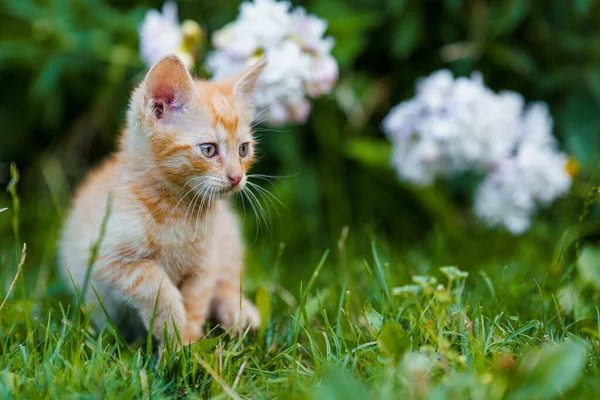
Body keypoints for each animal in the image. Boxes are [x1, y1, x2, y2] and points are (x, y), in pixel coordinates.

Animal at [59, 54, 266, 346]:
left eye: (243, 149)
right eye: (209, 150)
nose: (237, 177)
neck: (176, 209)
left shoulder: (204, 267)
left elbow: (197, 302)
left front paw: (186, 346)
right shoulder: (101, 257)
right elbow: (153, 282)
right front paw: (171, 328)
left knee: (227, 281)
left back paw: (239, 314)